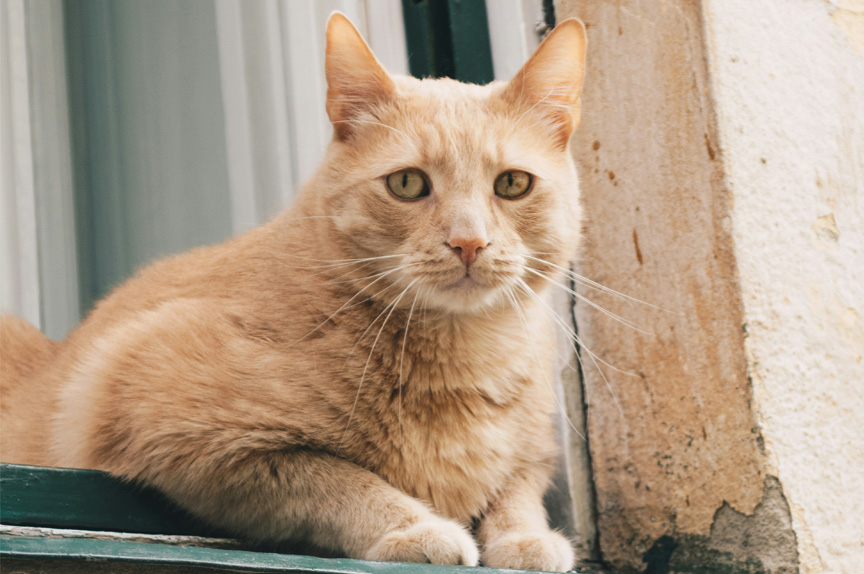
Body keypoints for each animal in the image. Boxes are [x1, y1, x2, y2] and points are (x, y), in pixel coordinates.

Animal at [1, 13, 588, 572]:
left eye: (512, 183)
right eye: (407, 184)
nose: (469, 242)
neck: (466, 356)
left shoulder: (536, 457)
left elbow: (516, 490)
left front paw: (525, 538)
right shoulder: (173, 417)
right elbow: (337, 478)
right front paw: (415, 527)